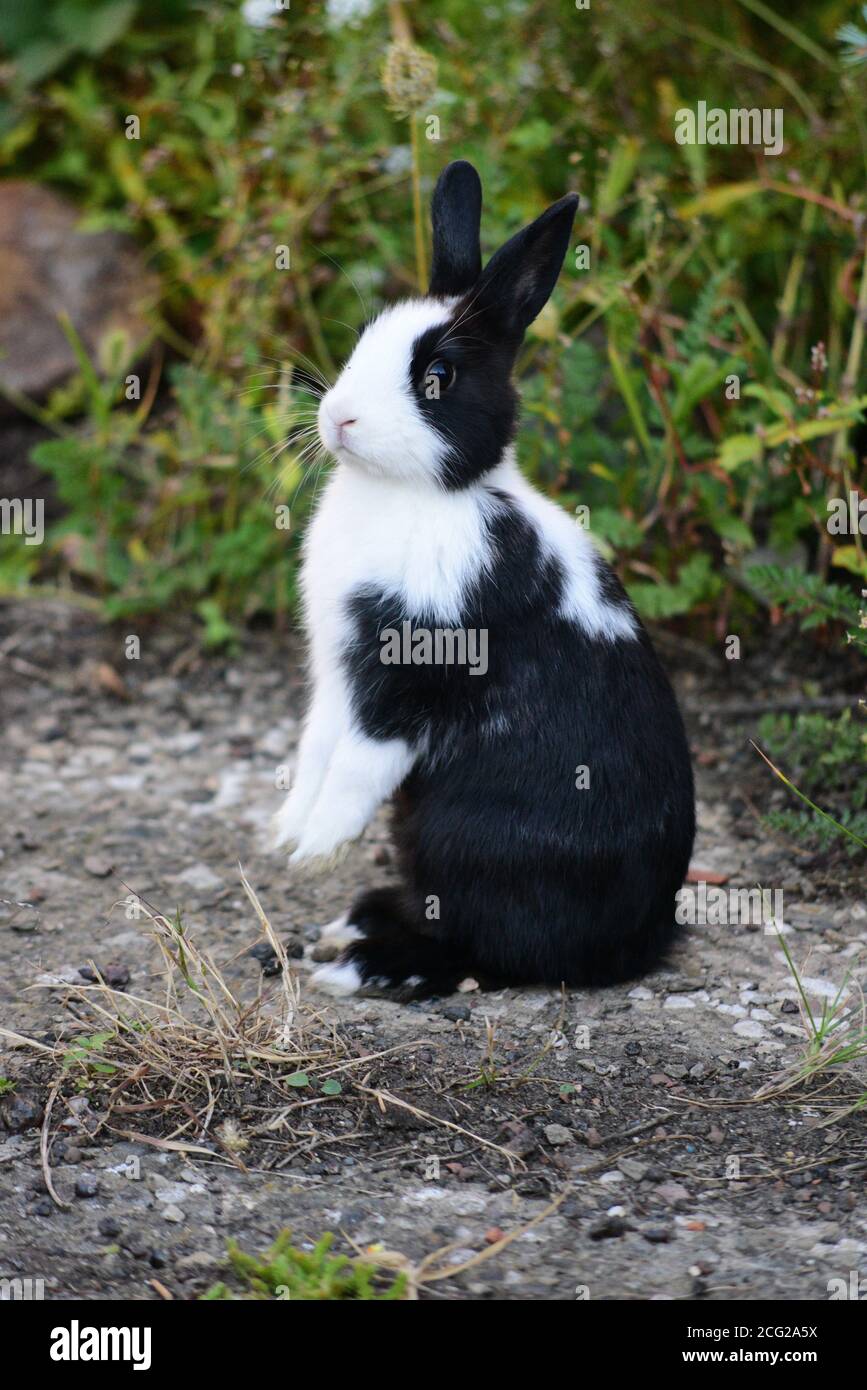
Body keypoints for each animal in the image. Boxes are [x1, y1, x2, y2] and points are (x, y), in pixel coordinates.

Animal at [273, 159, 694, 1000]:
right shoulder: (337, 679)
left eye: (438, 376)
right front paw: (289, 833)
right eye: (364, 340)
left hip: (460, 840)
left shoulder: (406, 685)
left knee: (487, 952)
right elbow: (316, 748)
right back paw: (359, 923)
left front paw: (316, 850)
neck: (425, 494)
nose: (338, 418)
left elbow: (355, 767)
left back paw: (363, 961)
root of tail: (639, 944)